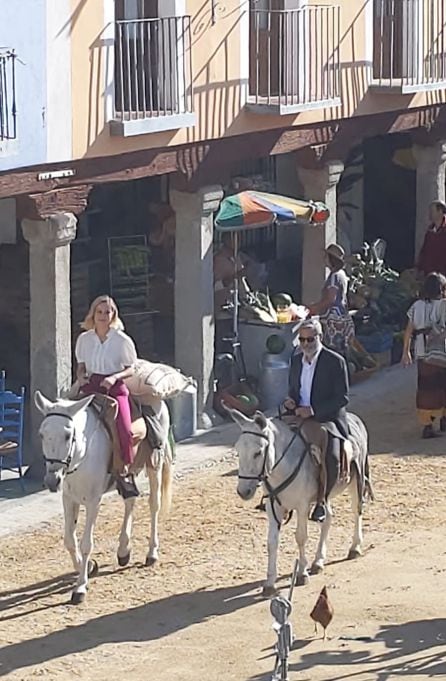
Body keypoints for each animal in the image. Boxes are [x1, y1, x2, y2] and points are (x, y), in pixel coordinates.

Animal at [33, 390, 172, 604]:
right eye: (42, 434)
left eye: (67, 435)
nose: (52, 480)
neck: (81, 454)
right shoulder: (69, 499)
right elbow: (69, 540)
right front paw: (89, 567)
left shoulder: (93, 502)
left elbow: (86, 544)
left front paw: (80, 588)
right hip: (128, 473)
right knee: (130, 500)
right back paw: (123, 550)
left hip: (154, 464)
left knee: (153, 505)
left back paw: (152, 553)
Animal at [226, 410, 372, 596]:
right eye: (238, 451)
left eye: (258, 452)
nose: (243, 491)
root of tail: (355, 418)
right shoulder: (273, 506)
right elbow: (272, 542)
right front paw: (270, 583)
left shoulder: (302, 506)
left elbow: (301, 537)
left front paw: (302, 574)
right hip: (324, 497)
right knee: (328, 518)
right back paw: (318, 561)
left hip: (356, 481)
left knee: (356, 510)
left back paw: (355, 548)